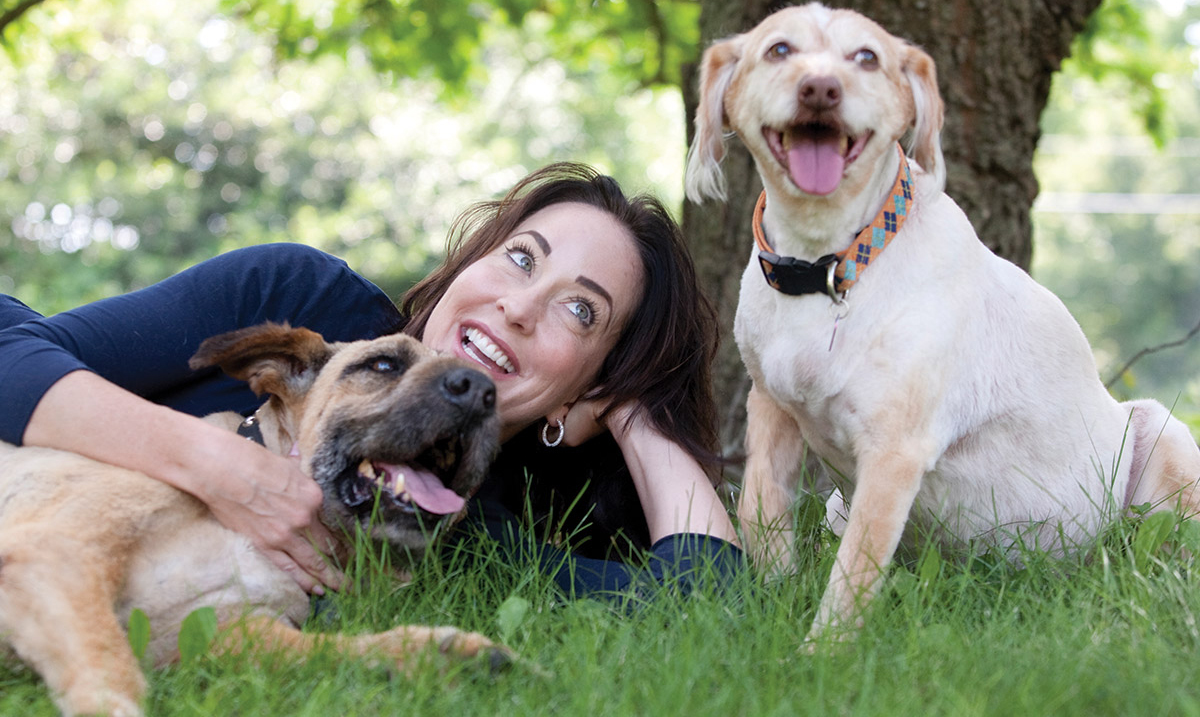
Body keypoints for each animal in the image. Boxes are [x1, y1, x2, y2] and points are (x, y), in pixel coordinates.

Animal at [0, 323, 504, 717]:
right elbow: (109, 668)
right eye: (382, 365)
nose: (483, 391)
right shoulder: (59, 553)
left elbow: (327, 651)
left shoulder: (216, 632)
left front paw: (432, 657)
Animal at [686, 2, 1200, 642]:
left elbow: (853, 572)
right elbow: (759, 507)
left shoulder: (894, 450)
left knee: (1160, 565)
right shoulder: (771, 405)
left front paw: (820, 652)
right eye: (779, 50)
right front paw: (775, 597)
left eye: (866, 57)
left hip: (1166, 443)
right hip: (834, 505)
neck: (829, 265)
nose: (821, 89)